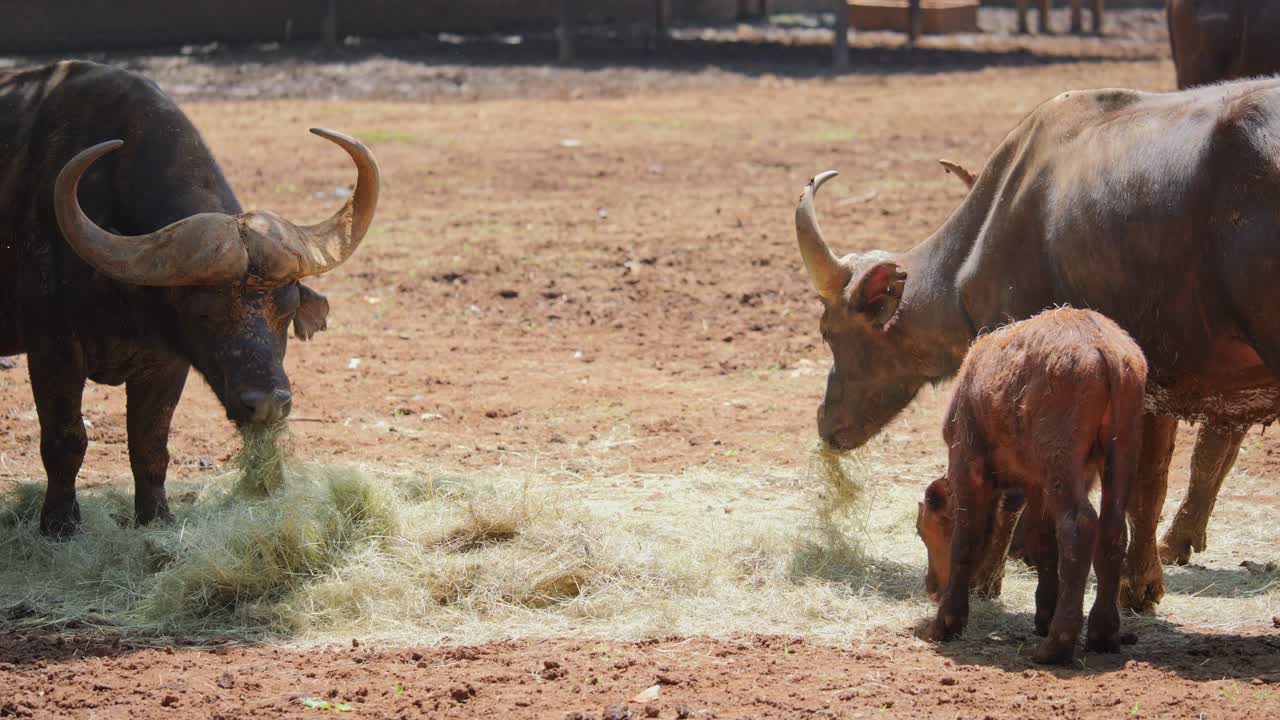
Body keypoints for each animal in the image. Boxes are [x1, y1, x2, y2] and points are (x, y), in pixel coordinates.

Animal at [0, 60, 379, 537]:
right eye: (203, 311)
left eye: (288, 307)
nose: (267, 403)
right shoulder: (52, 349)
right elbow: (66, 440)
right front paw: (59, 524)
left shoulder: (166, 362)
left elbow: (150, 443)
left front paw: (156, 517)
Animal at [795, 77, 1280, 612]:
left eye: (830, 332)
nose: (826, 424)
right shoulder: (1157, 383)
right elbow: (1147, 483)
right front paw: (1138, 586)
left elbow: (1016, 488)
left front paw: (986, 579)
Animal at [916, 309, 1145, 664]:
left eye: (925, 531)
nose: (931, 587)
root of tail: (1103, 345)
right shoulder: (1040, 485)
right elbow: (1044, 542)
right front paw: (1043, 615)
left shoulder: (968, 463)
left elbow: (966, 540)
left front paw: (945, 623)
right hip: (1118, 456)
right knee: (1111, 531)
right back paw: (1102, 634)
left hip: (1061, 463)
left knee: (1078, 526)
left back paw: (1056, 645)